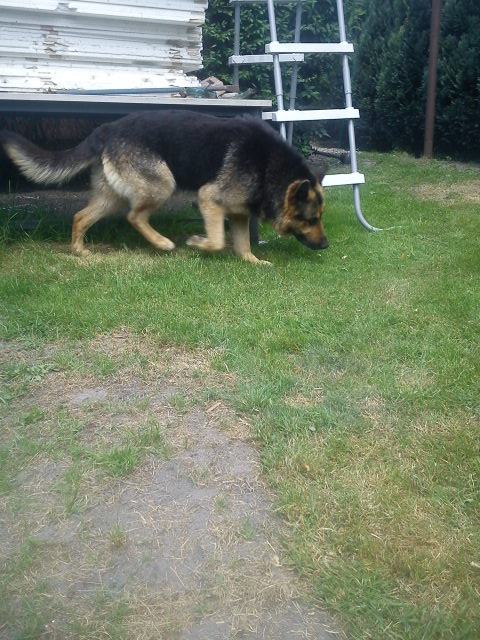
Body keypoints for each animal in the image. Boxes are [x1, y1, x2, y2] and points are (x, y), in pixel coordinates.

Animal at [0, 110, 328, 264]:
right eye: (310, 219)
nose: (326, 245)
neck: (271, 167)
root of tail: (107, 128)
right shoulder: (209, 199)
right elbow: (218, 240)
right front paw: (198, 244)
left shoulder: (238, 212)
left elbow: (243, 244)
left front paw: (253, 262)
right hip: (162, 184)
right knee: (134, 216)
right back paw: (161, 243)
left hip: (112, 196)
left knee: (81, 217)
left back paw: (79, 251)